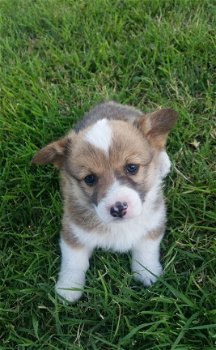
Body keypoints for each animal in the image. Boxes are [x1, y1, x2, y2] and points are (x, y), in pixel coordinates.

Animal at [32, 100, 177, 302]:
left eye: (132, 167)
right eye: (90, 179)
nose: (118, 209)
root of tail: (109, 102)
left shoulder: (154, 223)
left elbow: (146, 251)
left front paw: (147, 273)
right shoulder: (73, 232)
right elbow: (74, 262)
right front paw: (68, 288)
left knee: (159, 147)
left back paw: (163, 164)